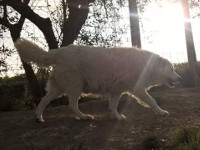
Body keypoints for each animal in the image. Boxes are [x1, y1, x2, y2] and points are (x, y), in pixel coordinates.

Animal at [14, 38, 181, 122]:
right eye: (172, 69)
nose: (180, 78)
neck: (148, 66)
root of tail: (60, 51)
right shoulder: (138, 89)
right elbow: (152, 101)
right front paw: (162, 113)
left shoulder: (117, 92)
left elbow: (113, 106)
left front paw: (117, 117)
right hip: (76, 86)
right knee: (72, 104)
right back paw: (84, 117)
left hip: (59, 88)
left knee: (44, 100)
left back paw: (39, 117)